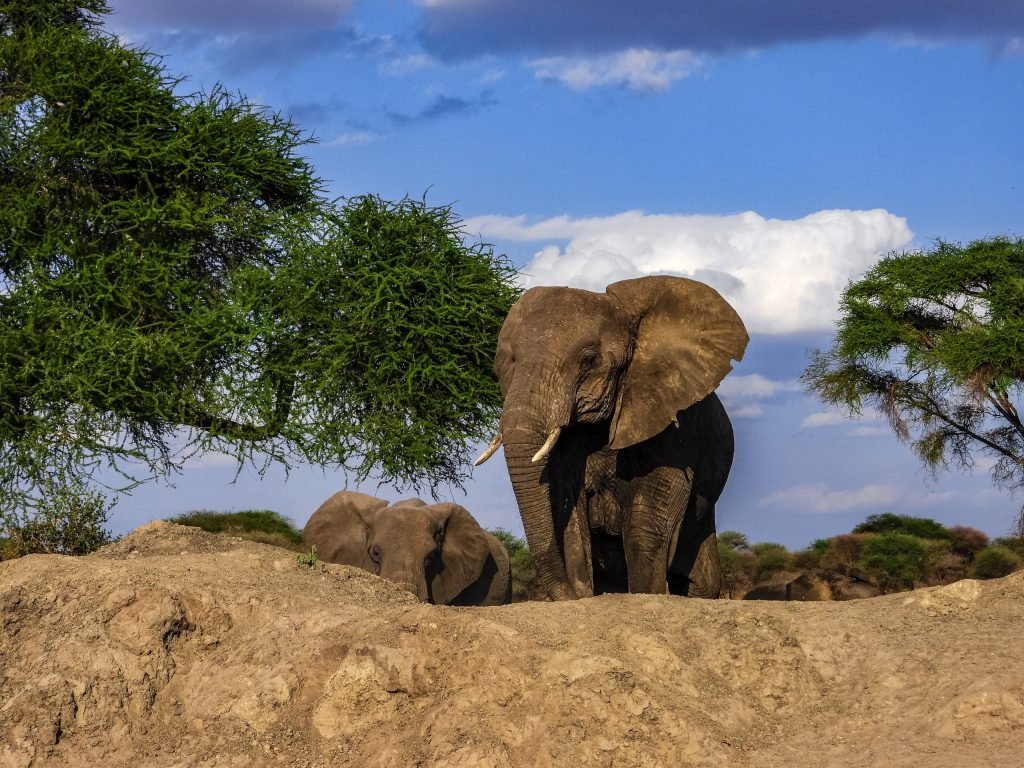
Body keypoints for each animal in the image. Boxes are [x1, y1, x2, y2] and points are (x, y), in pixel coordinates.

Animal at [475, 274, 749, 602]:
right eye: (511, 360)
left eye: (589, 359)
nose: (569, 595)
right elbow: (571, 518)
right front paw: (582, 594)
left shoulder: (670, 421)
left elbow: (645, 523)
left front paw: (644, 596)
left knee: (701, 577)